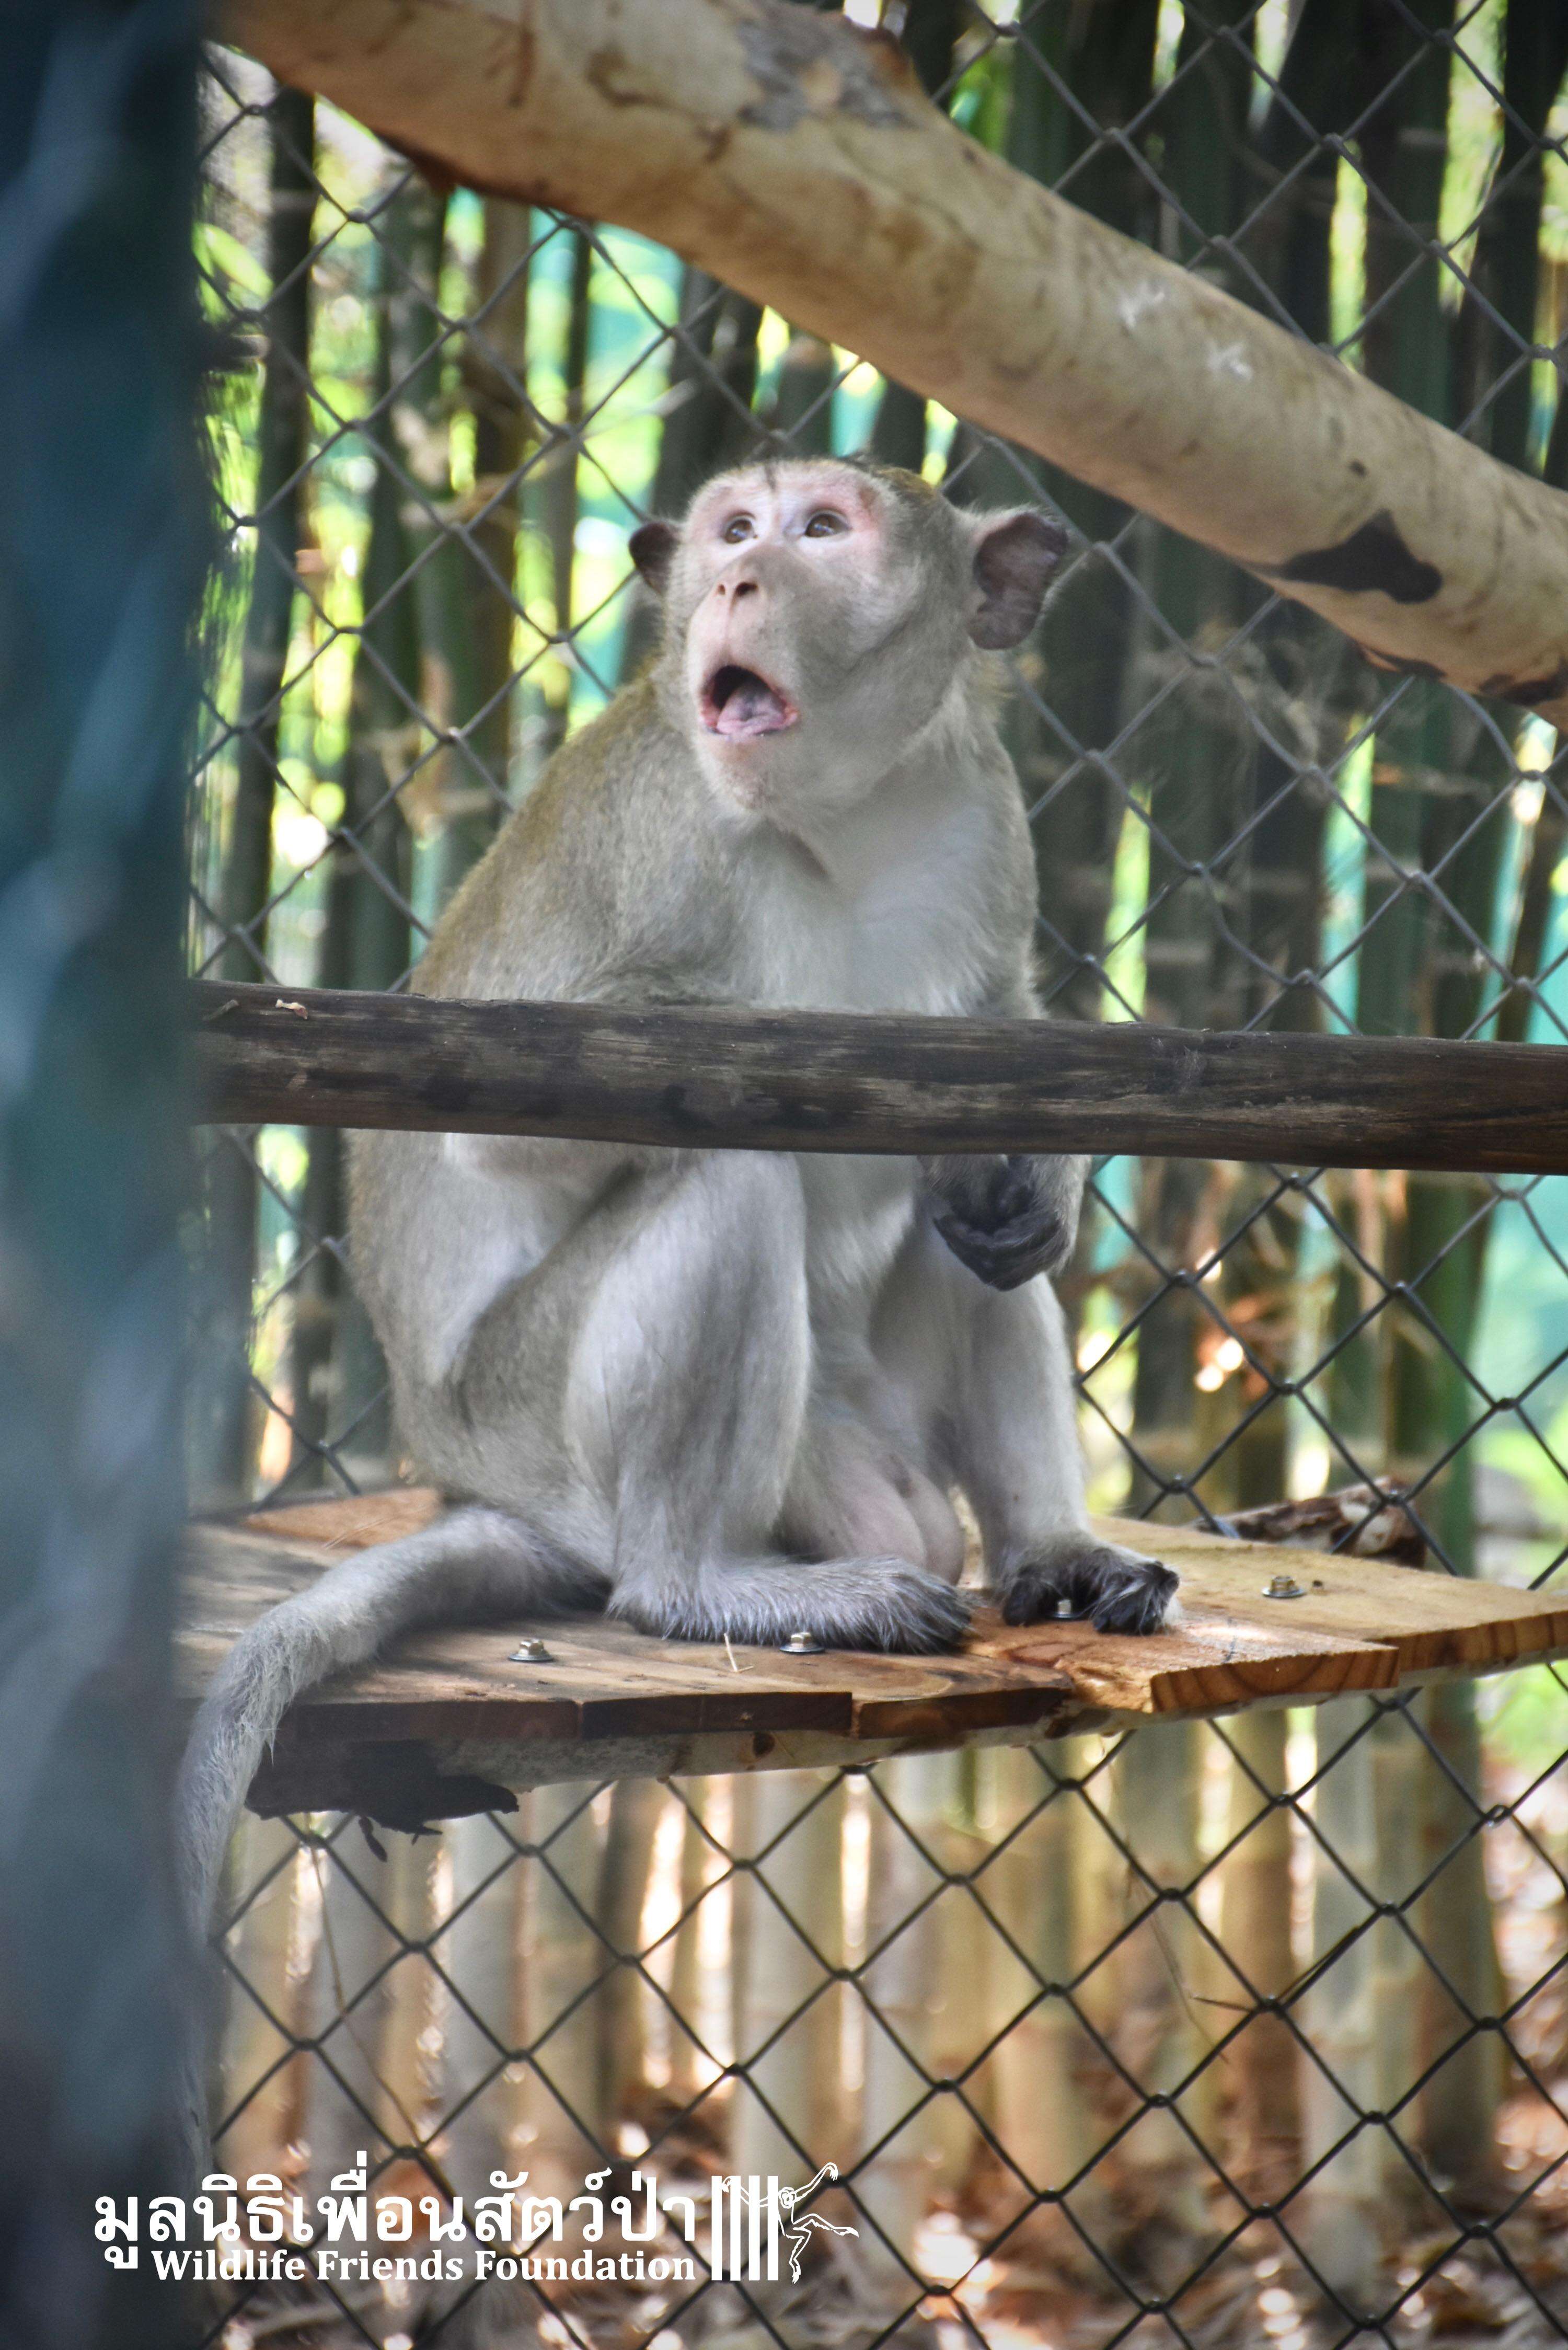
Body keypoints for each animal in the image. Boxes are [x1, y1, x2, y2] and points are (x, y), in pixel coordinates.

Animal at [177, 455, 1177, 1947]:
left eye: (819, 528)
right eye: (731, 530)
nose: (737, 581)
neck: (831, 818)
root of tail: (473, 1477)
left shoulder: (981, 808)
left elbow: (1000, 1059)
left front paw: (1034, 1176)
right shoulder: (657, 853)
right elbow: (515, 1122)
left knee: (967, 1250)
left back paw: (1052, 1551)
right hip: (545, 1423)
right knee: (719, 1173)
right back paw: (700, 1578)